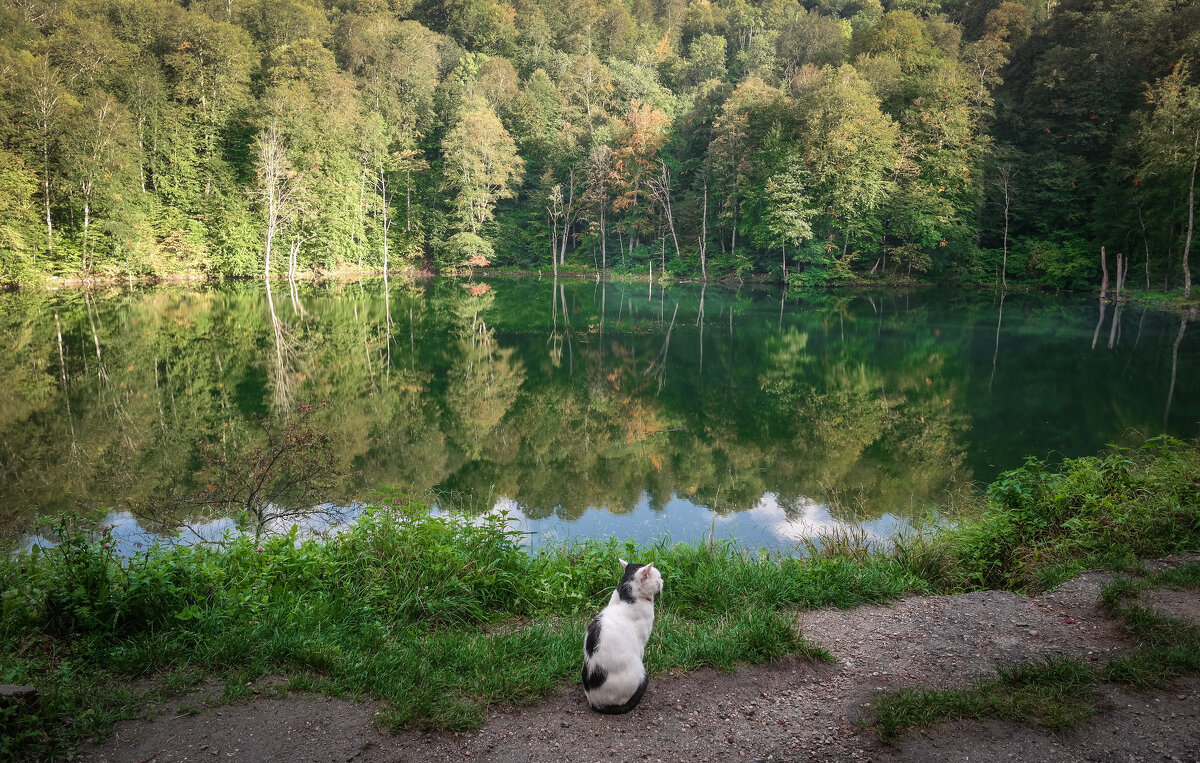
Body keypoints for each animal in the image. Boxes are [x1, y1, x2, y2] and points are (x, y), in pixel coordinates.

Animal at [580, 556, 667, 710]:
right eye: (659, 577)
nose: (663, 581)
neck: (625, 597)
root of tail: (596, 702)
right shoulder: (642, 642)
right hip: (640, 672)